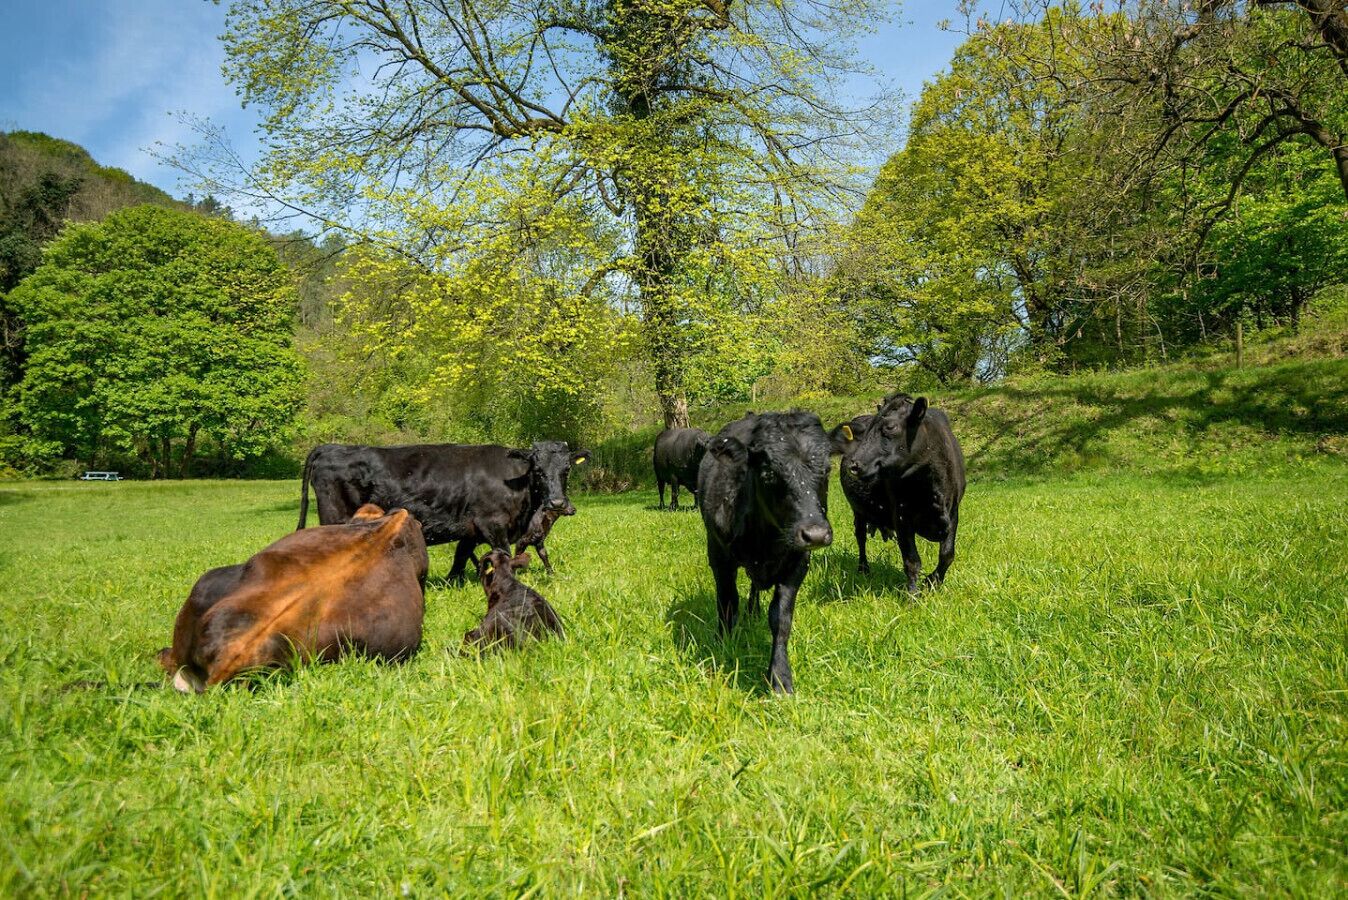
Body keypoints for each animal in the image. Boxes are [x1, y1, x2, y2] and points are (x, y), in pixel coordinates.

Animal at [297, 441, 589, 582]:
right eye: (538, 470)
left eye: (567, 469)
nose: (557, 503)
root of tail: (331, 447)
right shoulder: (494, 524)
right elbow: (504, 555)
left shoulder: (470, 530)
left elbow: (460, 559)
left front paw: (452, 584)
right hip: (336, 519)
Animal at [698, 411, 833, 694]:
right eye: (768, 473)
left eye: (827, 469)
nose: (815, 534)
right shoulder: (719, 556)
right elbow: (727, 605)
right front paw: (722, 647)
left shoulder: (798, 563)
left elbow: (781, 618)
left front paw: (780, 677)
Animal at [833, 393, 965, 591]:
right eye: (868, 430)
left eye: (890, 427)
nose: (854, 465)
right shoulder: (901, 515)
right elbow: (912, 561)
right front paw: (913, 594)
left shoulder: (953, 511)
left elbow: (947, 555)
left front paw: (933, 582)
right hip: (858, 511)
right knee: (860, 536)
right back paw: (863, 569)